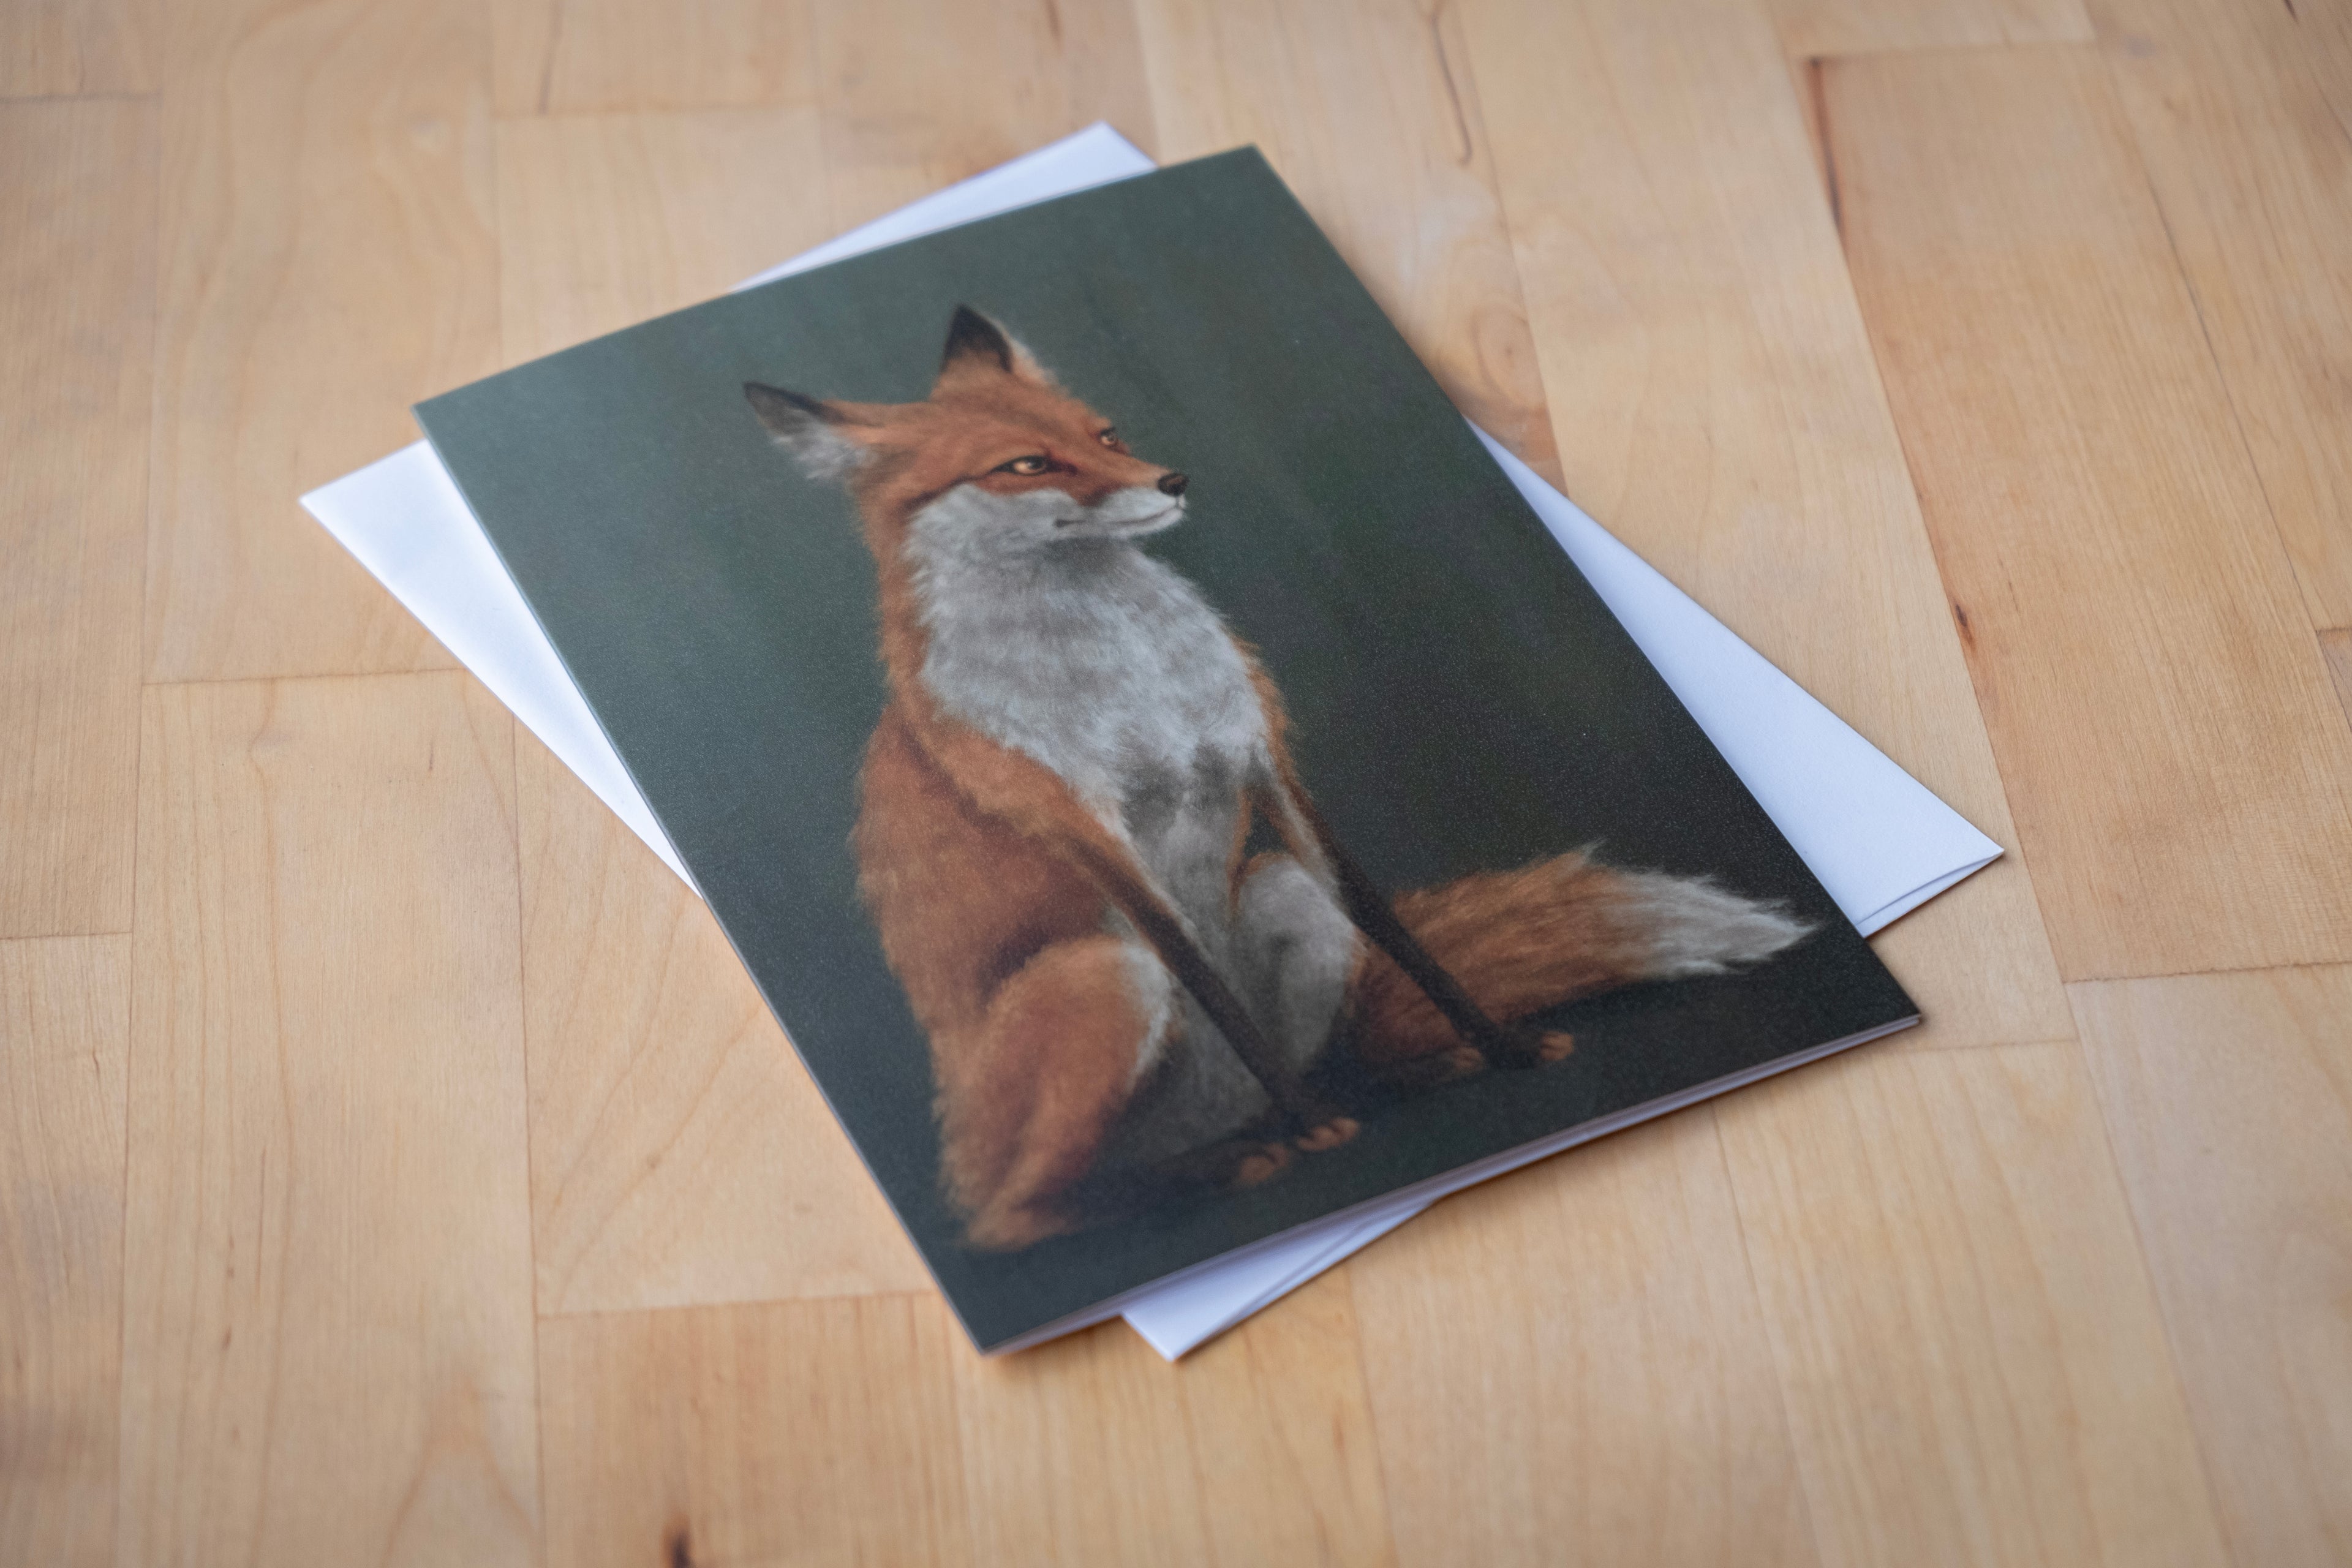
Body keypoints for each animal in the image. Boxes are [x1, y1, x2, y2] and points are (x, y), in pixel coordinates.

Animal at [745, 306, 1810, 1250]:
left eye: (1104, 434)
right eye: (1027, 464)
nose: (1172, 479)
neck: (1123, 668)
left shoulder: (1263, 760)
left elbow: (1396, 931)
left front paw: (1498, 1046)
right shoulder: (1086, 827)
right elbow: (1201, 977)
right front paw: (1320, 1132)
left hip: (1277, 892)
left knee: (1339, 1044)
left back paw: (1374, 1089)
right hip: (1102, 977)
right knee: (1015, 1220)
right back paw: (1215, 1169)